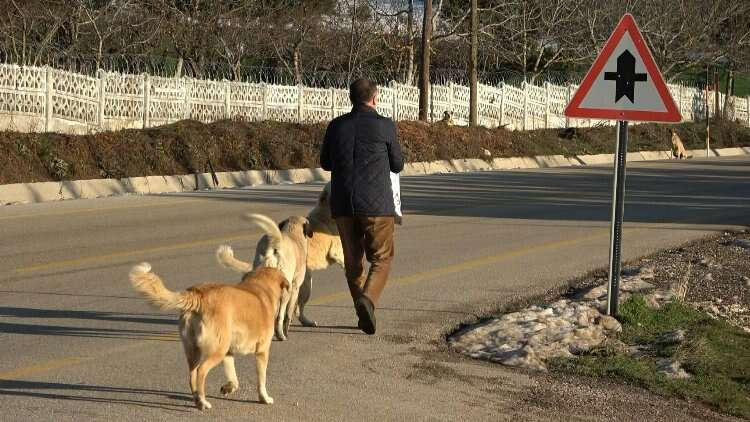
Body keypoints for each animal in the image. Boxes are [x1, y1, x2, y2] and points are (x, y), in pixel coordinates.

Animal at [128, 263, 289, 410]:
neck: (262, 287)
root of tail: (197, 295)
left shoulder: (228, 353)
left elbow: (234, 378)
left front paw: (229, 388)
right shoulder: (262, 351)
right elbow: (262, 380)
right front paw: (264, 398)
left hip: (197, 350)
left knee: (192, 375)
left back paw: (197, 399)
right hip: (216, 351)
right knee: (201, 371)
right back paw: (203, 402)